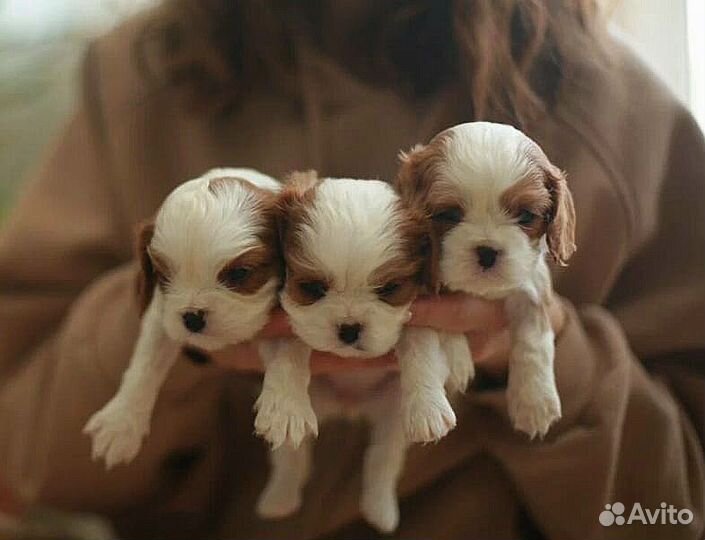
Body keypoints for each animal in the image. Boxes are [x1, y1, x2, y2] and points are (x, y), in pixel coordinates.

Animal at [82, 168, 280, 468]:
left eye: (240, 274)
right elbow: (145, 362)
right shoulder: (162, 314)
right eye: (163, 276)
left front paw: (284, 405)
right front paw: (121, 422)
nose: (193, 318)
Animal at [253, 172, 456, 532]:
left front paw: (428, 407)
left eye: (389, 289)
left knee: (383, 458)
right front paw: (284, 409)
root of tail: (349, 406)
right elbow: (288, 351)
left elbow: (419, 348)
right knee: (291, 458)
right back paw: (280, 497)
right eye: (311, 288)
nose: (349, 328)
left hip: (391, 411)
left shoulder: (423, 312)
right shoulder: (276, 324)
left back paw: (380, 509)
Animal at [394, 122, 576, 438]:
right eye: (448, 214)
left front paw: (535, 401)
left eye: (525, 215)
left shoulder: (530, 285)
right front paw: (426, 409)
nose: (488, 251)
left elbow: (534, 340)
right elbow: (418, 345)